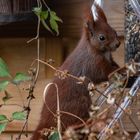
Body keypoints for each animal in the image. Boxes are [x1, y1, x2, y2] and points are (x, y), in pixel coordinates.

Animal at [31, 0, 120, 139]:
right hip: (79, 105)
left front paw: (122, 67)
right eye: (102, 37)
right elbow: (104, 73)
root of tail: (47, 121)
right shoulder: (93, 64)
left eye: (114, 31)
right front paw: (122, 70)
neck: (97, 50)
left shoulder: (109, 59)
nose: (117, 44)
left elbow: (113, 64)